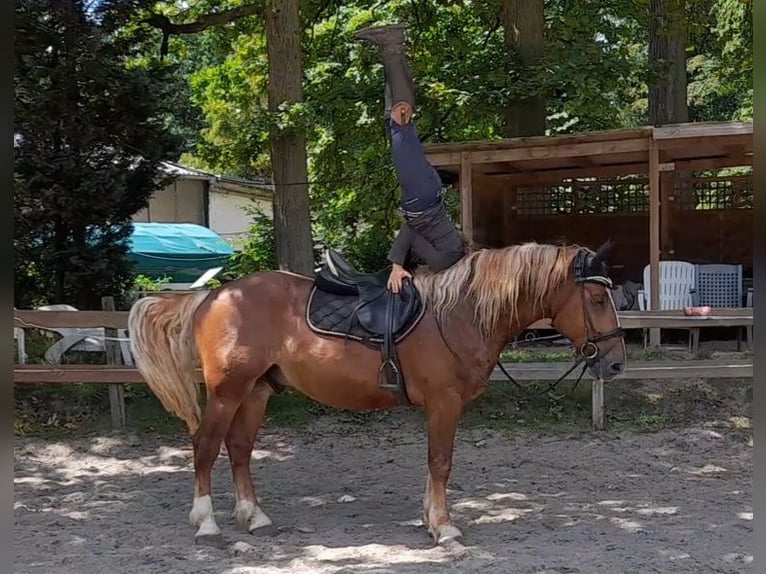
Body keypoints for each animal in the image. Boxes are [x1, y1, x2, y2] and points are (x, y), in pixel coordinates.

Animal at [127, 240, 626, 547]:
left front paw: (429, 518)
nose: (616, 363)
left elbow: (433, 464)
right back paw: (207, 524)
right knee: (205, 446)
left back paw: (254, 517)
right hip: (227, 391)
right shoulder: (444, 404)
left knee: (238, 449)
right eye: (597, 300)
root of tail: (215, 296)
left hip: (255, 392)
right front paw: (444, 527)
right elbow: (441, 463)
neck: (458, 313)